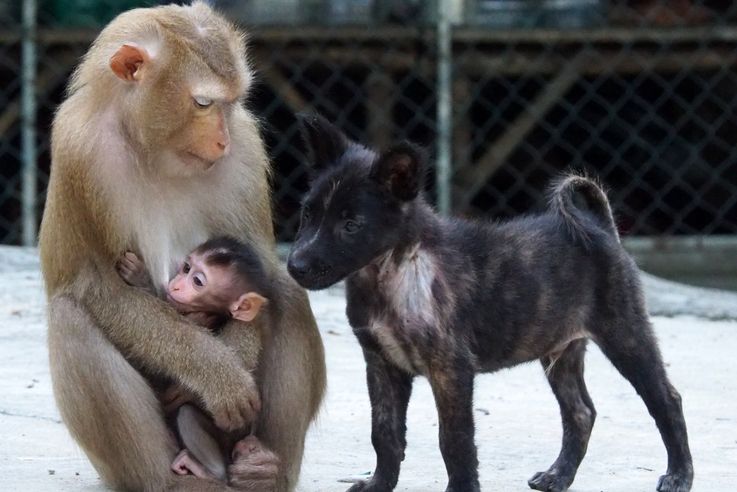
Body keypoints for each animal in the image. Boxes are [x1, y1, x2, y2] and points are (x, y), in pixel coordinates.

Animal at [116, 236, 272, 482]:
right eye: (187, 268)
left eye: (197, 281)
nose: (176, 284)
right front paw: (140, 276)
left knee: (187, 415)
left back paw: (209, 471)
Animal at [288, 114, 688, 492]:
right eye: (307, 213)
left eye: (351, 225)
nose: (295, 266)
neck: (392, 272)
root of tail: (601, 228)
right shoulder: (381, 364)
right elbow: (384, 433)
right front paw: (379, 485)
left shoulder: (451, 368)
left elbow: (455, 440)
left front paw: (461, 487)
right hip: (561, 350)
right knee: (581, 412)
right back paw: (558, 476)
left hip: (625, 332)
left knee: (667, 400)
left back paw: (679, 475)